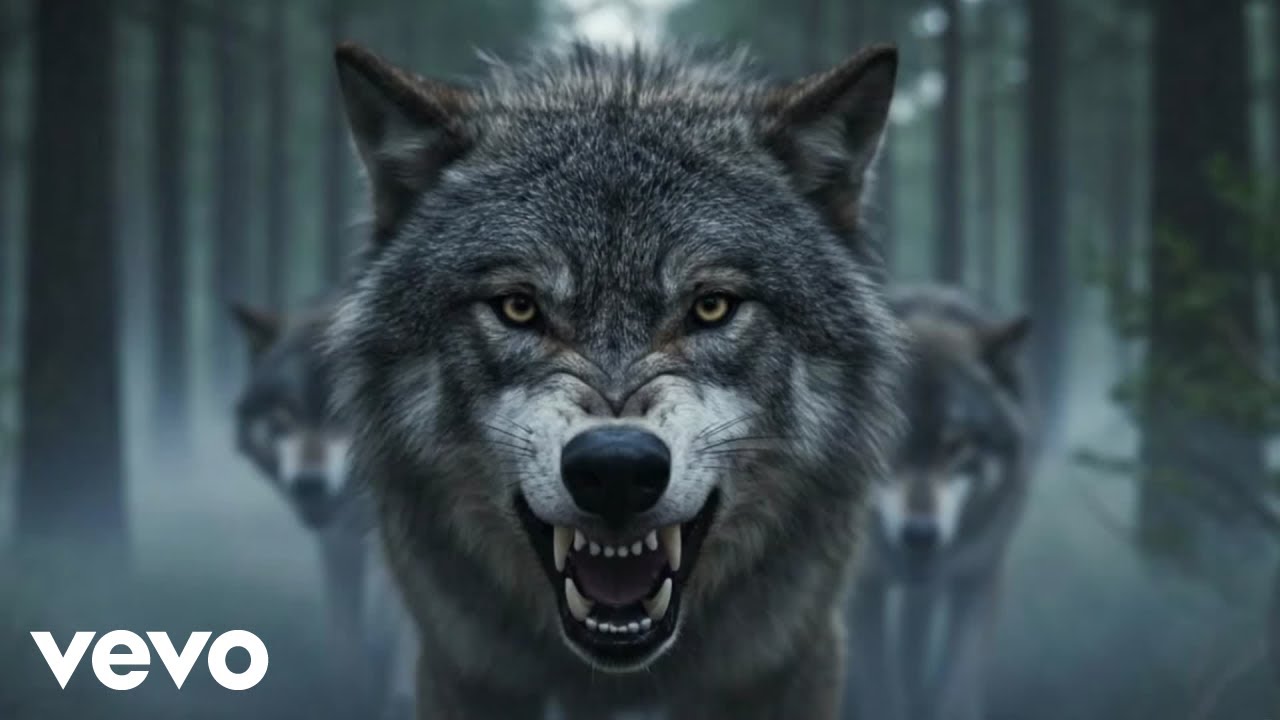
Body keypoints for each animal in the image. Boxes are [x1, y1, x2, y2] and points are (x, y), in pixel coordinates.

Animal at [231, 303, 416, 720]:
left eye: (343, 415)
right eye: (285, 415)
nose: (309, 484)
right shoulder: (340, 539)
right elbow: (345, 627)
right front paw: (350, 690)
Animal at [846, 284, 1034, 720]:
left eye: (957, 445)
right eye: (888, 439)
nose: (920, 534)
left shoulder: (978, 577)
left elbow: (958, 685)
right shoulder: (862, 588)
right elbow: (880, 689)